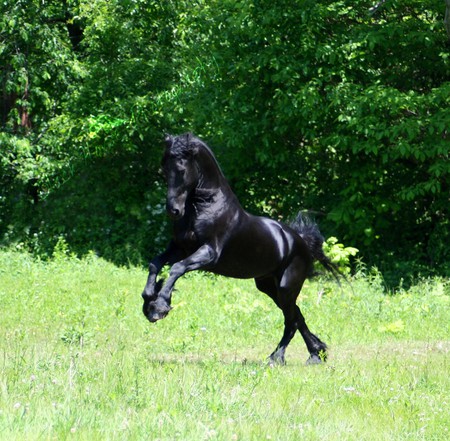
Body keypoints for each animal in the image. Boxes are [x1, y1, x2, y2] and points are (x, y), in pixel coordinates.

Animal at [142, 133, 340, 364]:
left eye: (181, 169)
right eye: (164, 168)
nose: (173, 210)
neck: (205, 206)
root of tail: (300, 241)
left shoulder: (209, 253)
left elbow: (177, 268)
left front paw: (160, 306)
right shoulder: (180, 248)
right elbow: (155, 263)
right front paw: (149, 299)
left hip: (286, 287)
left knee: (291, 320)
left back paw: (277, 358)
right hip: (269, 286)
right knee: (297, 315)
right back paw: (316, 353)